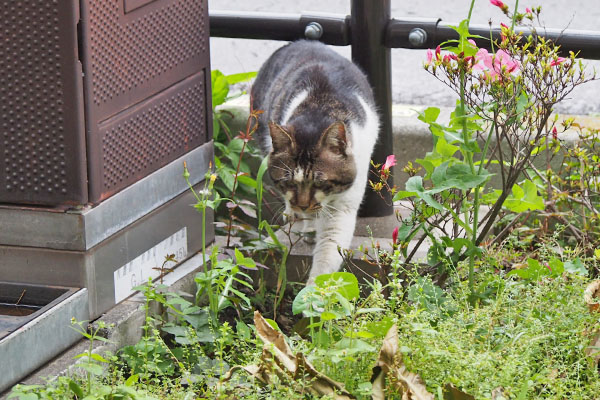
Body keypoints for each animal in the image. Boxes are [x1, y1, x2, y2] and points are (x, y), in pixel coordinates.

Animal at [251, 39, 378, 284]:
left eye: (320, 183)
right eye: (288, 182)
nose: (302, 205)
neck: (318, 111)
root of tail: (299, 42)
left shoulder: (342, 206)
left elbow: (328, 251)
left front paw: (314, 289)